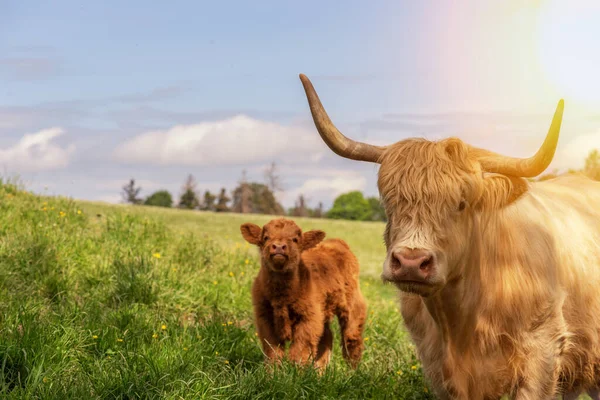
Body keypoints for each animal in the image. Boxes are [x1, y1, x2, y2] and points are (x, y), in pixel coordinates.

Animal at [239, 217, 366, 370]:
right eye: (266, 237)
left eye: (295, 239)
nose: (279, 247)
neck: (282, 296)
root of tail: (337, 242)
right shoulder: (265, 318)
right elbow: (273, 351)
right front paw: (272, 372)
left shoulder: (308, 319)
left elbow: (299, 351)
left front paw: (295, 373)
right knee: (326, 338)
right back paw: (319, 371)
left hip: (352, 306)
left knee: (351, 338)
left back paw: (351, 371)